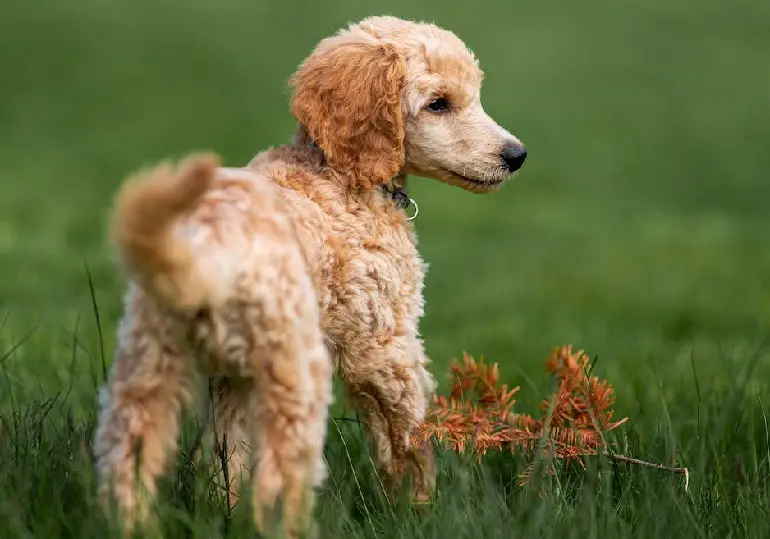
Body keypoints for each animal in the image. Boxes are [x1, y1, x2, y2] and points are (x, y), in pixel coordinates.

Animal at [94, 14, 520, 536]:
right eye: (438, 103)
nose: (517, 155)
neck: (337, 173)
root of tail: (205, 248)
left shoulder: (234, 377)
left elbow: (227, 450)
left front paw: (223, 507)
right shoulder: (385, 345)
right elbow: (407, 437)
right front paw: (419, 513)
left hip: (148, 361)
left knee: (128, 454)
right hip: (296, 367)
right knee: (282, 476)